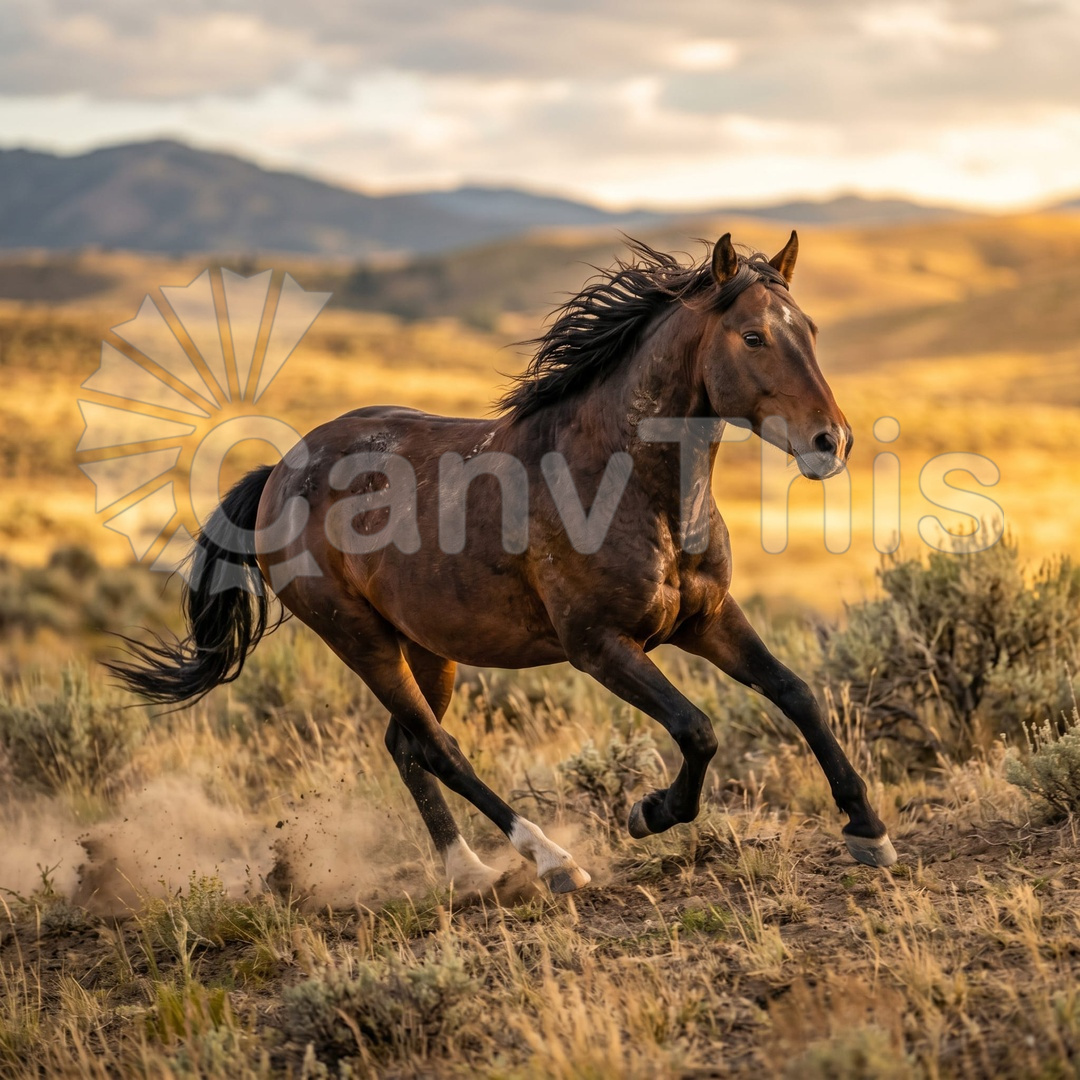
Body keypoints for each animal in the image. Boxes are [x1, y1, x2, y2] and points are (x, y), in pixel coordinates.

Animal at [113, 231, 896, 895]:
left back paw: (468, 873)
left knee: (406, 745)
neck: (626, 484)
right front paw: (649, 812)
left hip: (429, 649)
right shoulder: (600, 647)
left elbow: (796, 692)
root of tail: (278, 472)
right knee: (439, 747)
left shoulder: (707, 619)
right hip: (358, 639)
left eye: (810, 330)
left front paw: (868, 829)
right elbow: (697, 729)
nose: (832, 442)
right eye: (754, 336)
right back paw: (551, 861)